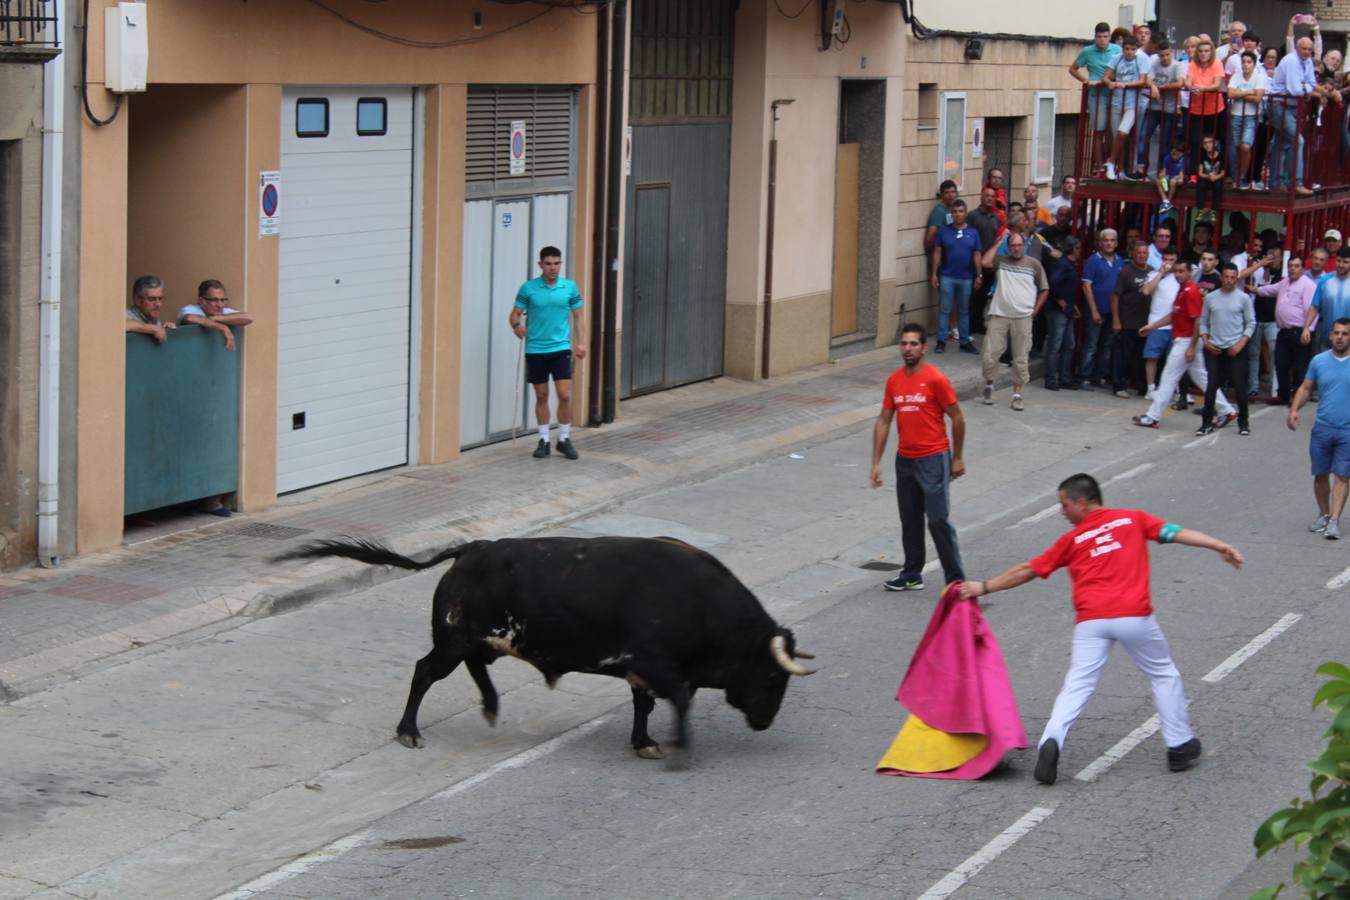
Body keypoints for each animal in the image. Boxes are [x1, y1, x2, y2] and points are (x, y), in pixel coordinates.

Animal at [276, 539, 810, 755]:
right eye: (771, 675)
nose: (765, 721)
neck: (702, 602)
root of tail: (473, 548)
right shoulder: (655, 664)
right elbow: (671, 700)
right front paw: (671, 743)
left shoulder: (645, 670)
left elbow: (645, 704)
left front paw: (645, 742)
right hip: (453, 639)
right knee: (425, 670)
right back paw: (409, 731)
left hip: (482, 639)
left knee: (474, 667)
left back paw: (491, 706)